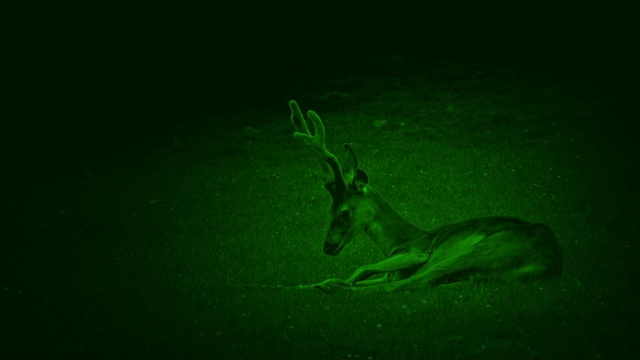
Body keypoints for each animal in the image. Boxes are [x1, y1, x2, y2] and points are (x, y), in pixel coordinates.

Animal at [288, 99, 564, 292]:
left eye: (345, 213)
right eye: (330, 210)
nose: (327, 246)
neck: (398, 242)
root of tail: (551, 263)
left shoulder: (417, 252)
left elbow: (362, 269)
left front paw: (336, 283)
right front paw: (300, 286)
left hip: (483, 248)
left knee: (407, 284)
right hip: (483, 271)